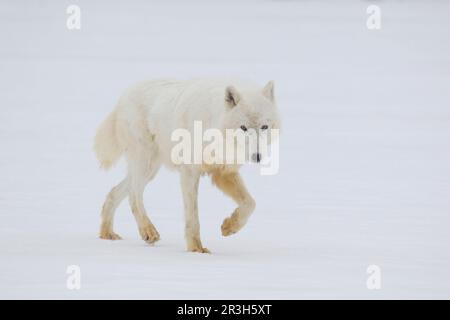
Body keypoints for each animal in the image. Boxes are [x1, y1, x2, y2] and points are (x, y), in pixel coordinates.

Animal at [93, 78, 280, 252]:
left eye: (264, 126)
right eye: (243, 127)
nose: (257, 156)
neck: (212, 125)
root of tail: (123, 97)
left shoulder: (223, 173)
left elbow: (250, 204)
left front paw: (229, 227)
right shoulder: (190, 171)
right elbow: (193, 216)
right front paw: (196, 249)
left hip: (151, 170)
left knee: (115, 191)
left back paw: (107, 233)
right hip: (146, 162)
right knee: (134, 194)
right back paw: (148, 231)